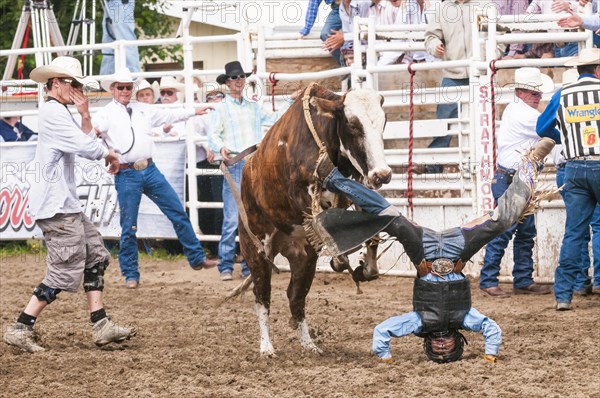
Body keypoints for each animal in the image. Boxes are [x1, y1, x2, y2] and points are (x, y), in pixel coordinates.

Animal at [239, 83, 394, 354]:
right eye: (352, 124)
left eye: (383, 121)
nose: (382, 175)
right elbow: (323, 220)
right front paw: (341, 258)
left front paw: (365, 266)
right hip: (256, 249)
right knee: (262, 296)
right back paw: (266, 347)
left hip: (304, 257)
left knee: (296, 296)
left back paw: (309, 344)